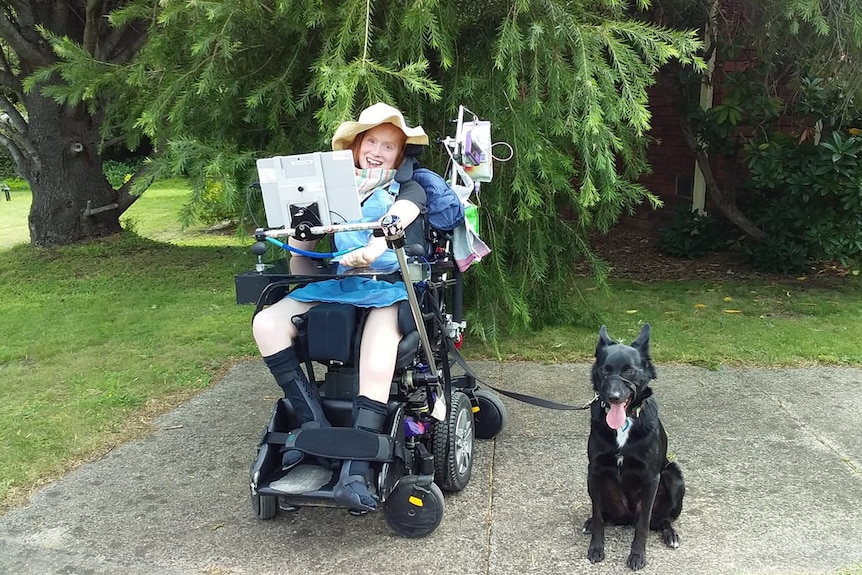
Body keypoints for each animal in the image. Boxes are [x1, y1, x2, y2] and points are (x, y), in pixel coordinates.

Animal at [584, 324, 684, 572]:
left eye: (630, 371)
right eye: (605, 370)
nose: (613, 397)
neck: (625, 423)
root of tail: (626, 517)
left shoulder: (651, 478)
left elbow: (643, 524)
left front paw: (637, 555)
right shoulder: (595, 470)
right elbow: (598, 517)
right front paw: (596, 548)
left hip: (674, 475)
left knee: (660, 520)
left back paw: (670, 534)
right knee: (605, 515)